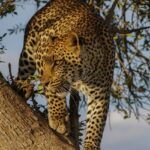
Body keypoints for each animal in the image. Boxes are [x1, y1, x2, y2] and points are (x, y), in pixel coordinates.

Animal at [14, 0, 115, 150]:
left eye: (57, 63)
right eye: (46, 61)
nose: (43, 83)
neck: (82, 75)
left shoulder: (100, 94)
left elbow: (96, 124)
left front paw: (91, 145)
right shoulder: (41, 50)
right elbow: (53, 93)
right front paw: (58, 119)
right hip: (30, 47)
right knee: (23, 70)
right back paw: (22, 86)